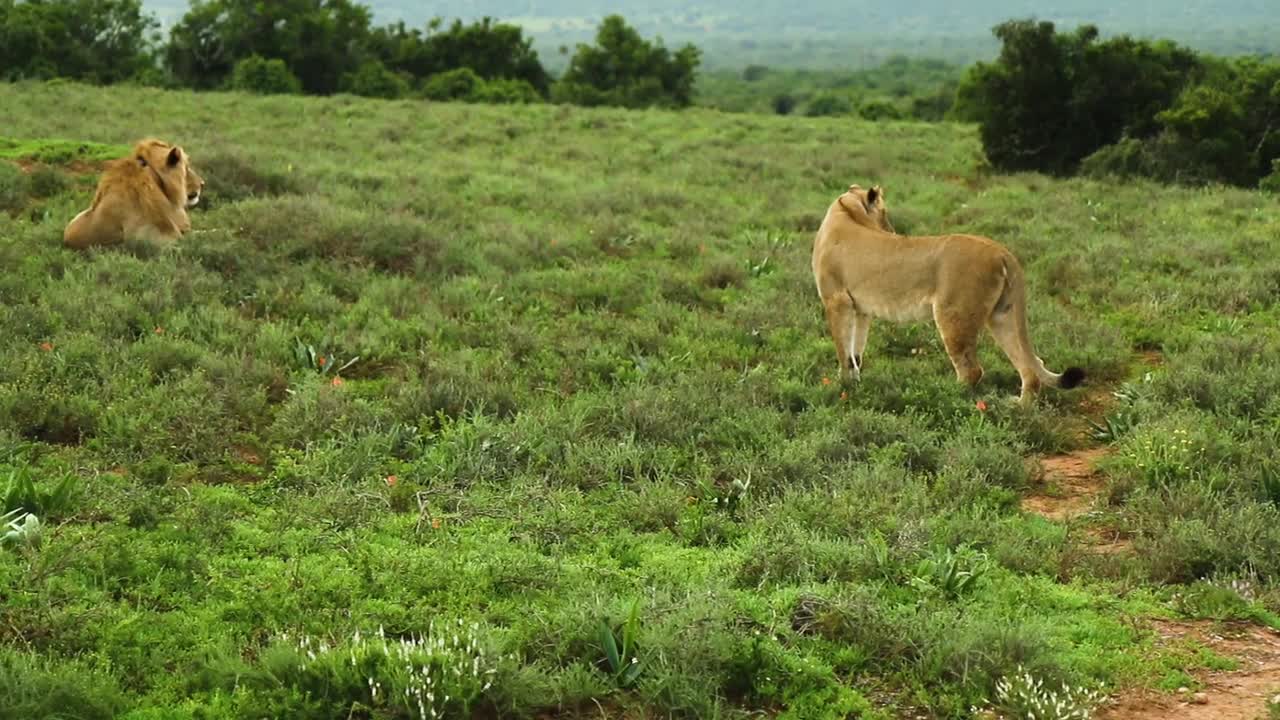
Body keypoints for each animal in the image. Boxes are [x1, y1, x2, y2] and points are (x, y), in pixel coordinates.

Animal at [808, 181, 1080, 399]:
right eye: (884, 212)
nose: (892, 230)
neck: (846, 210)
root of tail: (1002, 251)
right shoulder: (860, 309)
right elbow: (856, 351)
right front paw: (855, 384)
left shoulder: (836, 301)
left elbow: (843, 350)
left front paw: (843, 388)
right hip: (1002, 315)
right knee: (1030, 369)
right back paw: (1018, 410)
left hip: (953, 315)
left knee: (972, 371)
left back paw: (946, 396)